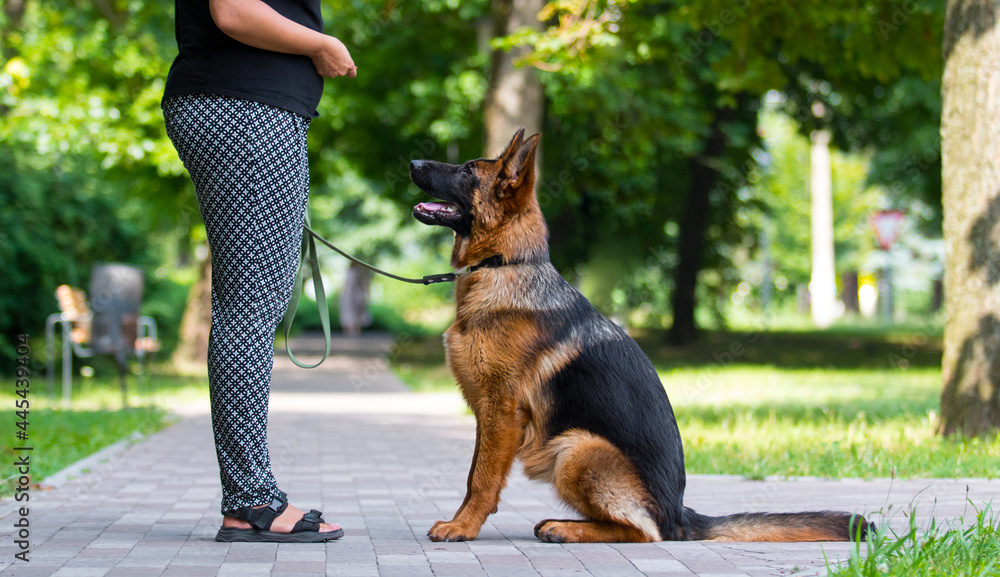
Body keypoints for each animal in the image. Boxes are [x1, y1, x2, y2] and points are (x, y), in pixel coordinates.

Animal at [410, 128, 872, 544]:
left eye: (468, 170)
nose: (413, 162)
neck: (503, 263)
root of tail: (680, 516)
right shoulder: (489, 415)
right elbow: (474, 473)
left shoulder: (502, 413)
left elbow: (481, 479)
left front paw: (462, 528)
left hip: (575, 448)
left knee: (644, 532)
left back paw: (567, 529)